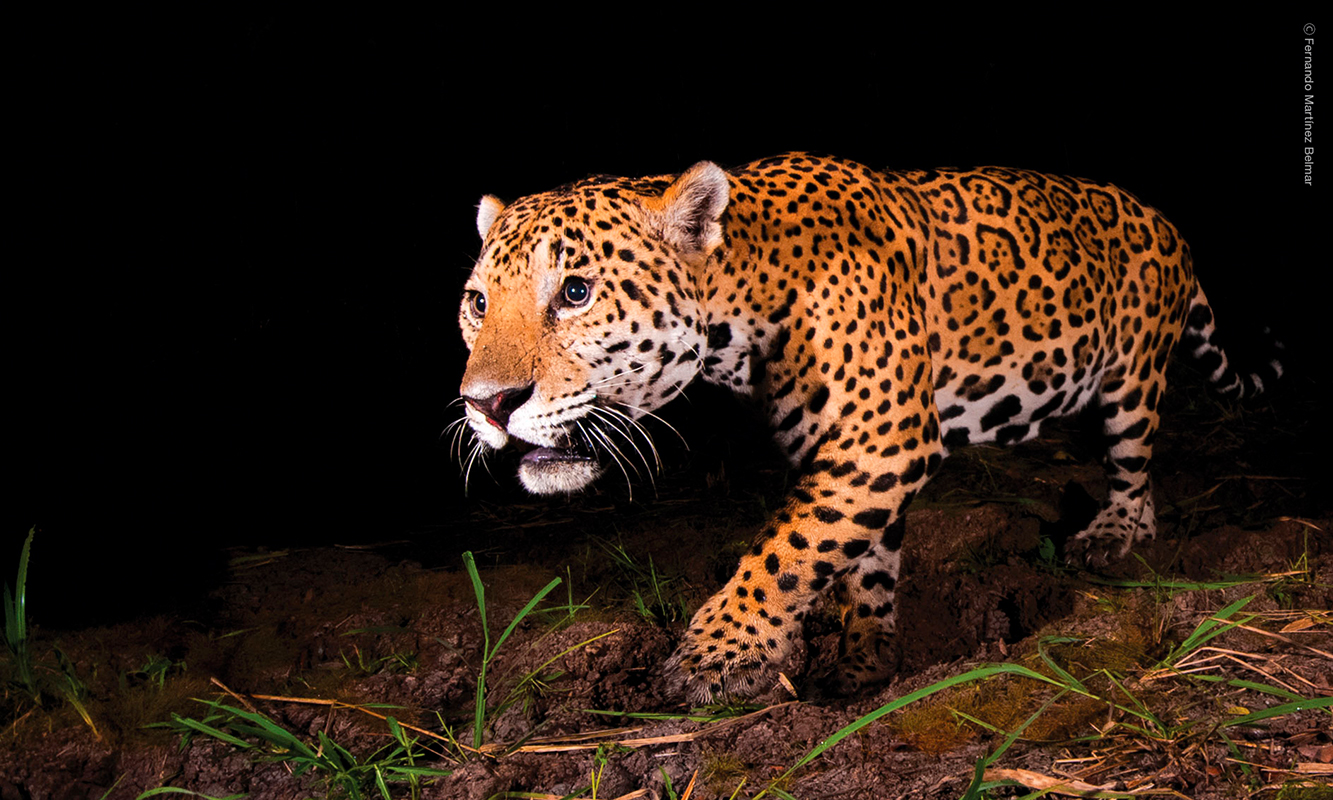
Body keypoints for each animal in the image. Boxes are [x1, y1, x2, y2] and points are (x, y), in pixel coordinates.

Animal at [455, 153, 1279, 704]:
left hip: (1132, 381)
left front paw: (716, 657)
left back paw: (1113, 536)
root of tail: (1160, 217)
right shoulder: (847, 456)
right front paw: (865, 663)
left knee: (1135, 470)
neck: (742, 299)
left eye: (575, 292)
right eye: (475, 302)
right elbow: (856, 558)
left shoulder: (883, 439)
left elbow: (784, 551)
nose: (486, 404)